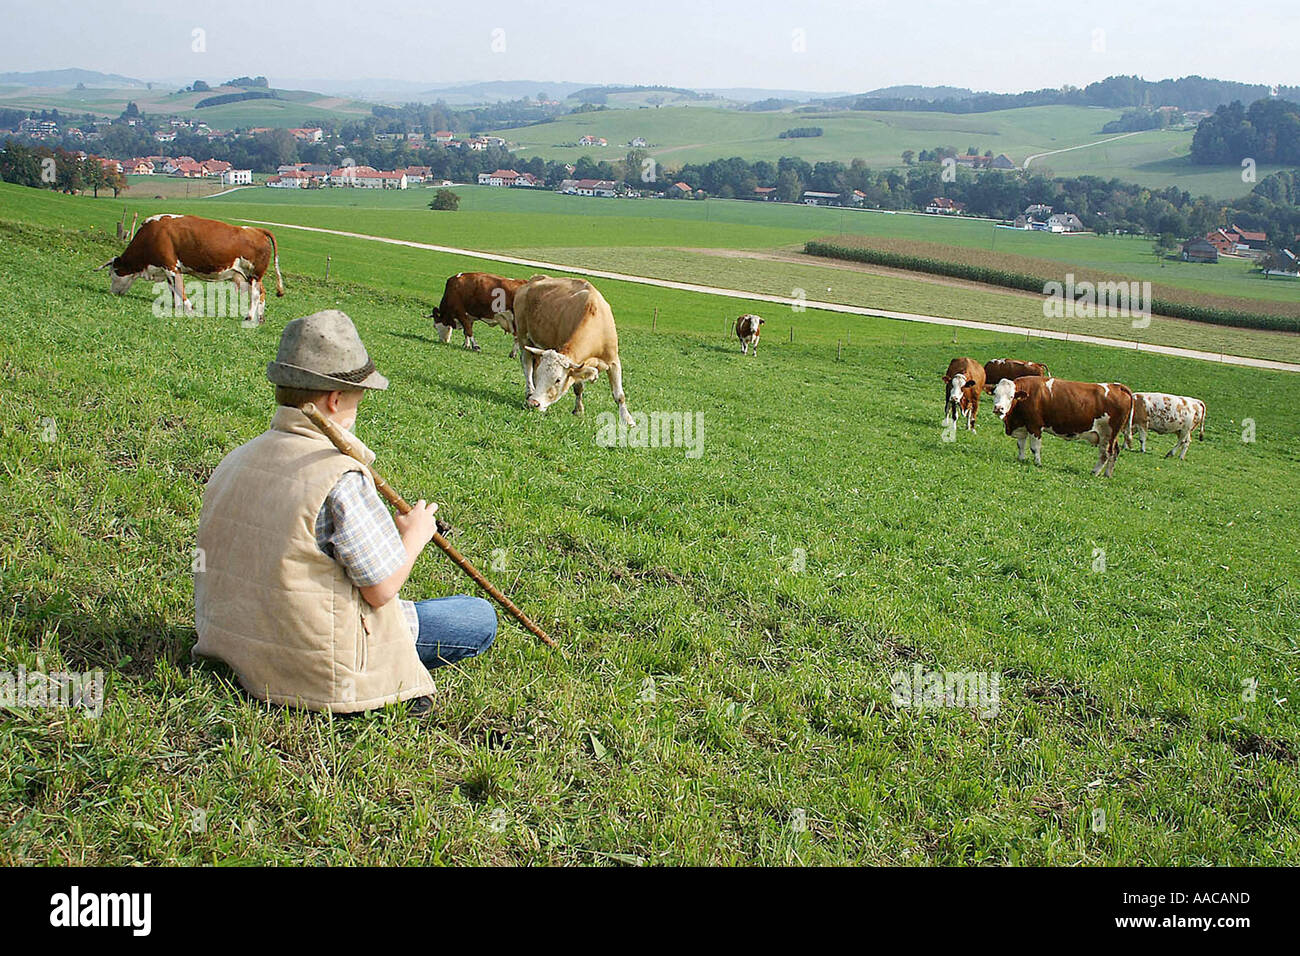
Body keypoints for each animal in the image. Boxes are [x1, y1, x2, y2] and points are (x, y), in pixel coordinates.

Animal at [94, 213, 283, 325]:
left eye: (111, 274)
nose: (112, 292)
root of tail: (257, 230)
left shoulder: (170, 266)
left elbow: (179, 288)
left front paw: (187, 306)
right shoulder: (167, 269)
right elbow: (173, 288)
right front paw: (176, 306)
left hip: (253, 275)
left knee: (255, 295)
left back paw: (249, 317)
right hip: (246, 277)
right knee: (262, 293)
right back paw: (260, 318)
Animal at [509, 277, 631, 426]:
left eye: (558, 380)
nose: (533, 403)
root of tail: (534, 279)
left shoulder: (613, 360)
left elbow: (619, 395)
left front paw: (628, 420)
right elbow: (578, 388)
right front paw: (578, 409)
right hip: (524, 339)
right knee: (527, 366)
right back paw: (530, 392)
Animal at [987, 374, 1133, 476]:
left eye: (1011, 396)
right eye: (995, 393)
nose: (998, 408)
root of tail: (1117, 386)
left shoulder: (1035, 426)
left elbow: (1035, 447)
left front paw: (1038, 463)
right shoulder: (1023, 425)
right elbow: (1020, 444)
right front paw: (1021, 459)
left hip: (1107, 435)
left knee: (1106, 453)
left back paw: (1094, 472)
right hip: (1112, 435)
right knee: (1115, 451)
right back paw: (1107, 474)